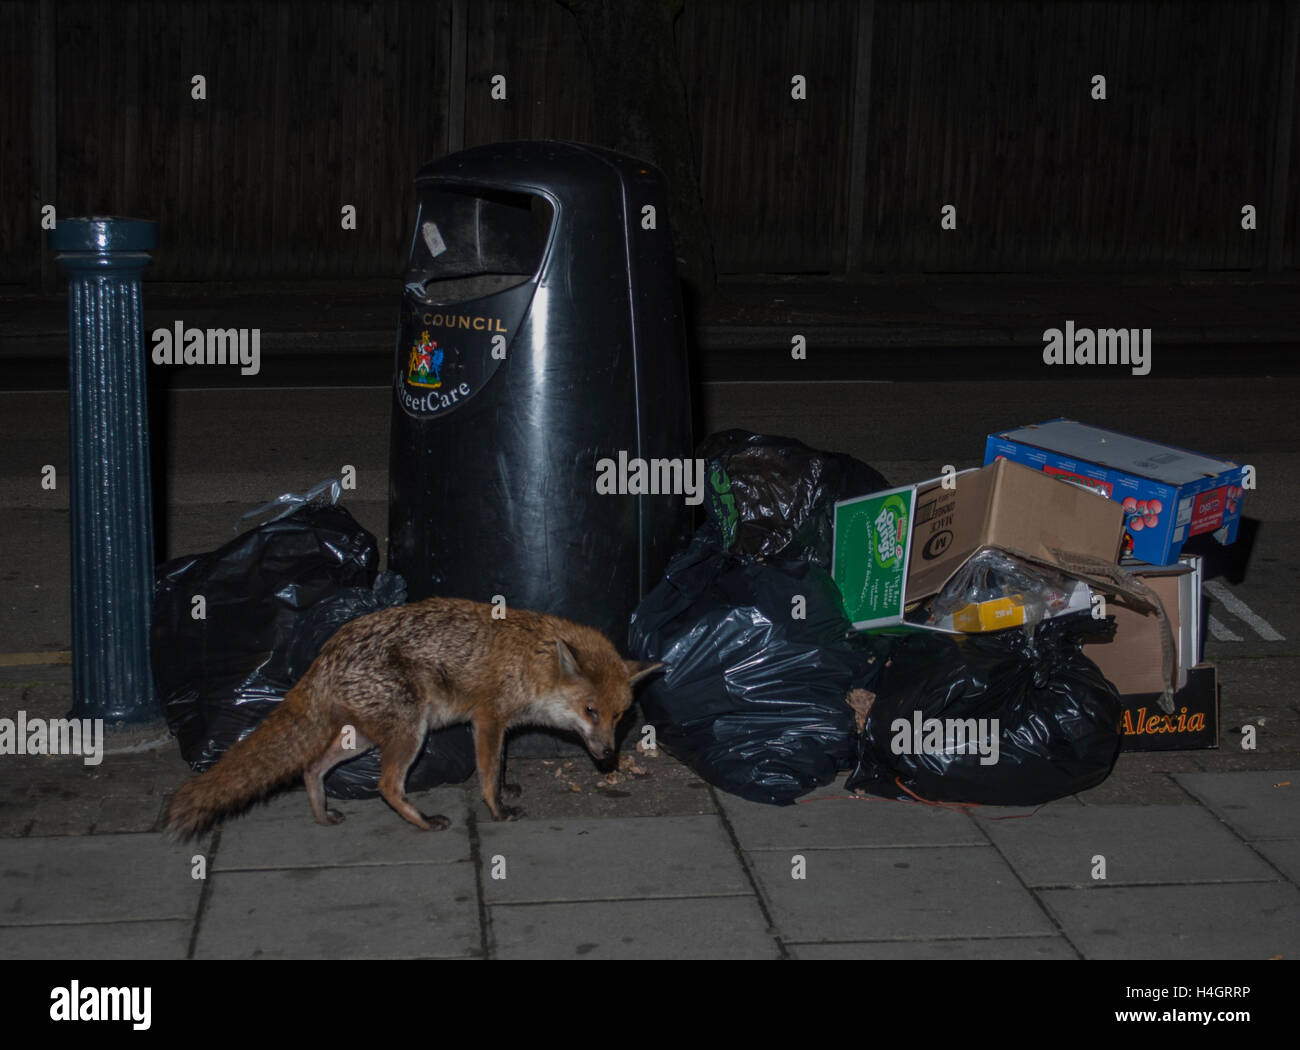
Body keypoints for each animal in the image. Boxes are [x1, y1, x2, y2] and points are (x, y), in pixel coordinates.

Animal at [164, 596, 662, 836]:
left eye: (620, 717)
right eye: (590, 711)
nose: (608, 758)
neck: (530, 660)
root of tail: (326, 652)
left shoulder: (499, 725)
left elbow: (499, 766)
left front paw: (505, 789)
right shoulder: (487, 719)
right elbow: (487, 773)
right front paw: (498, 809)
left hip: (365, 738)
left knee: (311, 767)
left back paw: (323, 816)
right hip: (410, 733)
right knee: (387, 786)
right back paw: (424, 823)